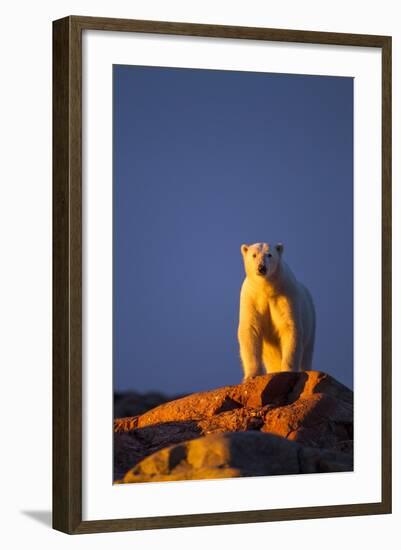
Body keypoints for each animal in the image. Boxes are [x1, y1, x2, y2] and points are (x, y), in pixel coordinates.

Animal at [236, 244, 314, 382]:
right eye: (254, 255)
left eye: (269, 255)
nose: (261, 267)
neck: (266, 289)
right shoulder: (252, 298)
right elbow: (250, 329)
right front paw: (251, 375)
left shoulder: (285, 295)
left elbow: (289, 328)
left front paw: (287, 370)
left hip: (311, 324)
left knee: (306, 353)